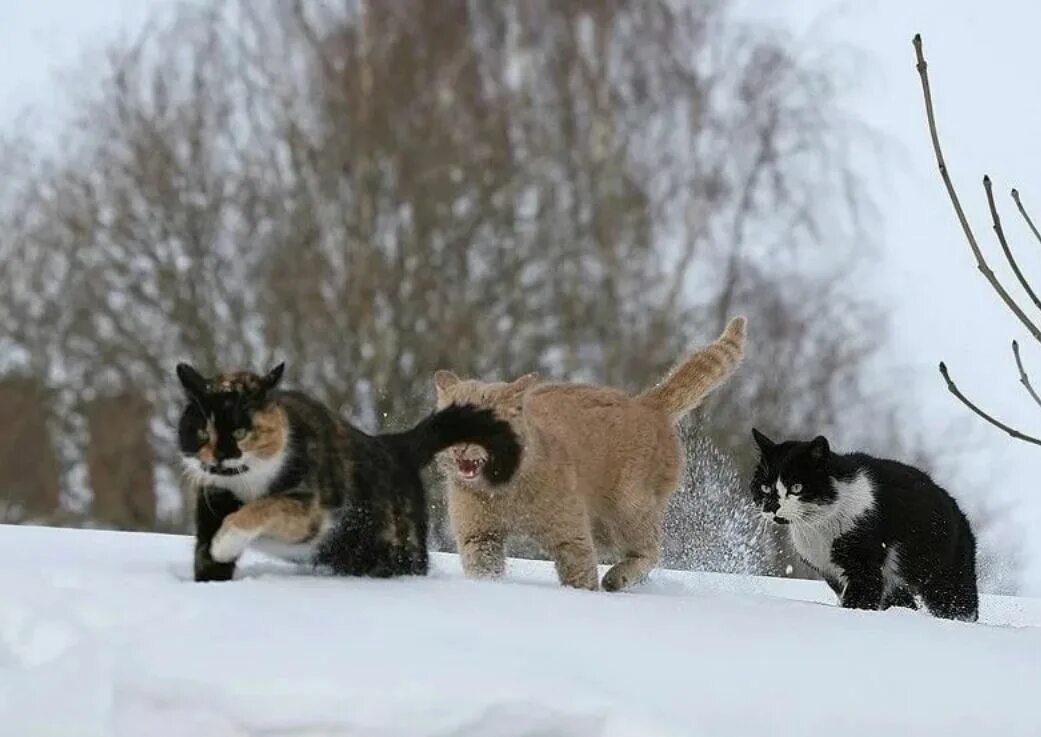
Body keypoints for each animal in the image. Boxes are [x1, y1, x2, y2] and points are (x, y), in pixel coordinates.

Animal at [178, 362, 524, 582]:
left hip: (395, 546)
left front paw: (224, 543)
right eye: (203, 432)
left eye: (240, 432)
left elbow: (262, 508)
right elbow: (206, 557)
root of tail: (394, 445)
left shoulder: (310, 510)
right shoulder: (212, 502)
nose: (219, 458)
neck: (246, 483)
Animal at [435, 316, 745, 591]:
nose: (459, 445)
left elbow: (581, 577)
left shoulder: (571, 537)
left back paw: (618, 578)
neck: (501, 491)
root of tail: (645, 403)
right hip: (605, 525)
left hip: (629, 508)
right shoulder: (479, 536)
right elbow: (485, 572)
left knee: (650, 549)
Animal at [749, 428, 974, 624]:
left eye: (797, 487)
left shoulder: (864, 563)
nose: (772, 507)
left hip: (945, 575)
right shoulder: (830, 571)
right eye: (765, 487)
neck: (818, 529)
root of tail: (957, 510)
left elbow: (861, 600)